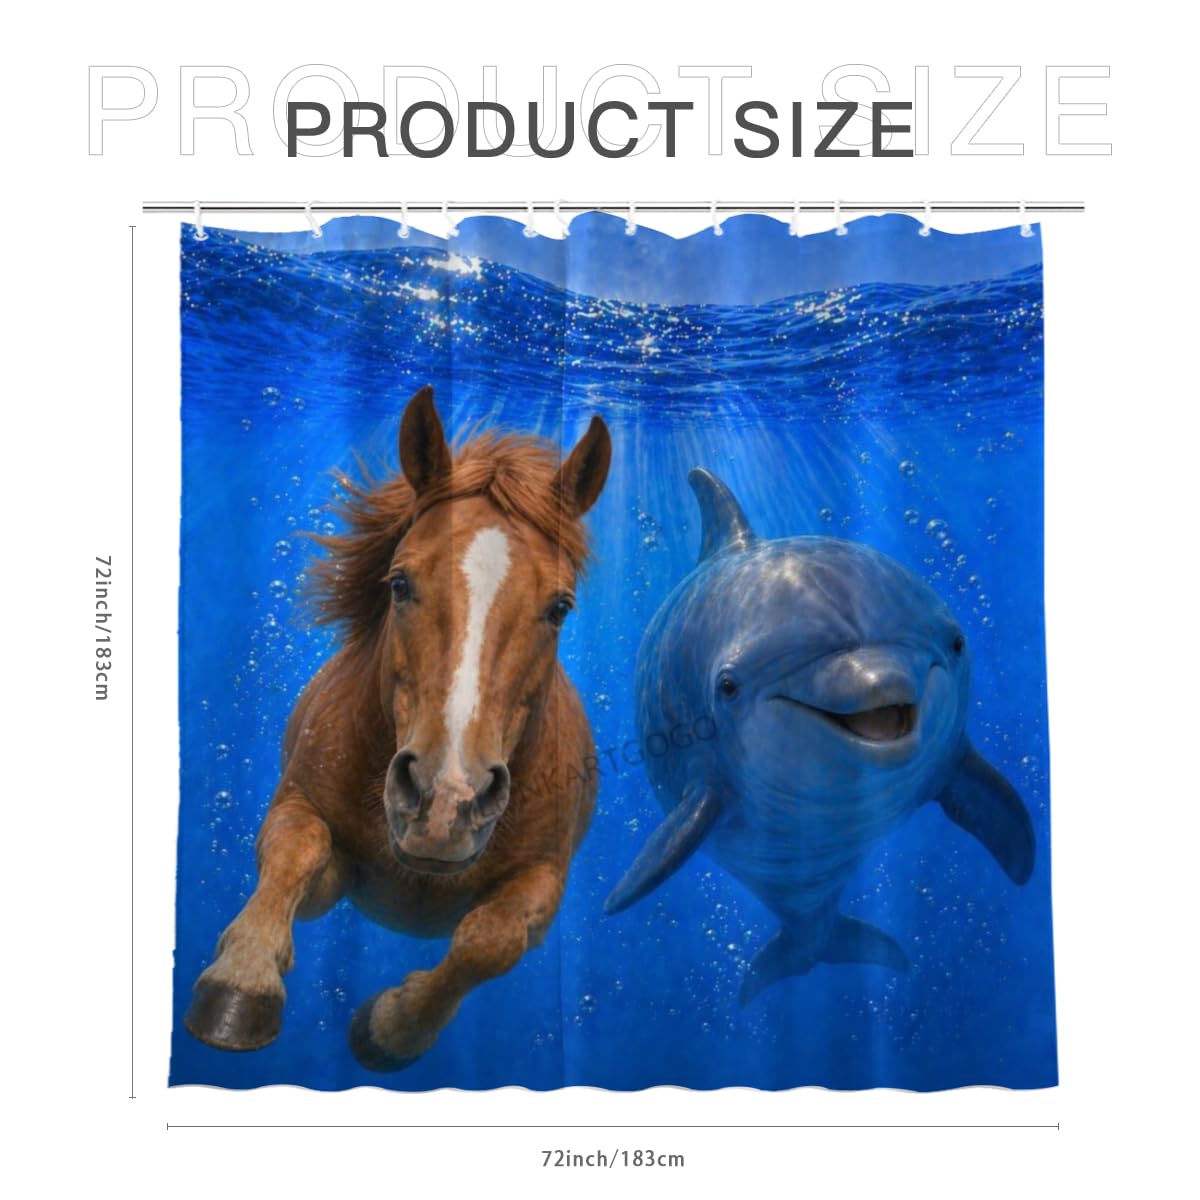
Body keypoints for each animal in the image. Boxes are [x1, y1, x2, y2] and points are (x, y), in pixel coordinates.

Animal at [184, 385, 612, 1071]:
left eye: (559, 607)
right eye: (400, 582)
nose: (446, 801)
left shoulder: (543, 883)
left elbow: (488, 941)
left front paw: (390, 1027)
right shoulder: (318, 841)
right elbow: (294, 854)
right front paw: (241, 982)